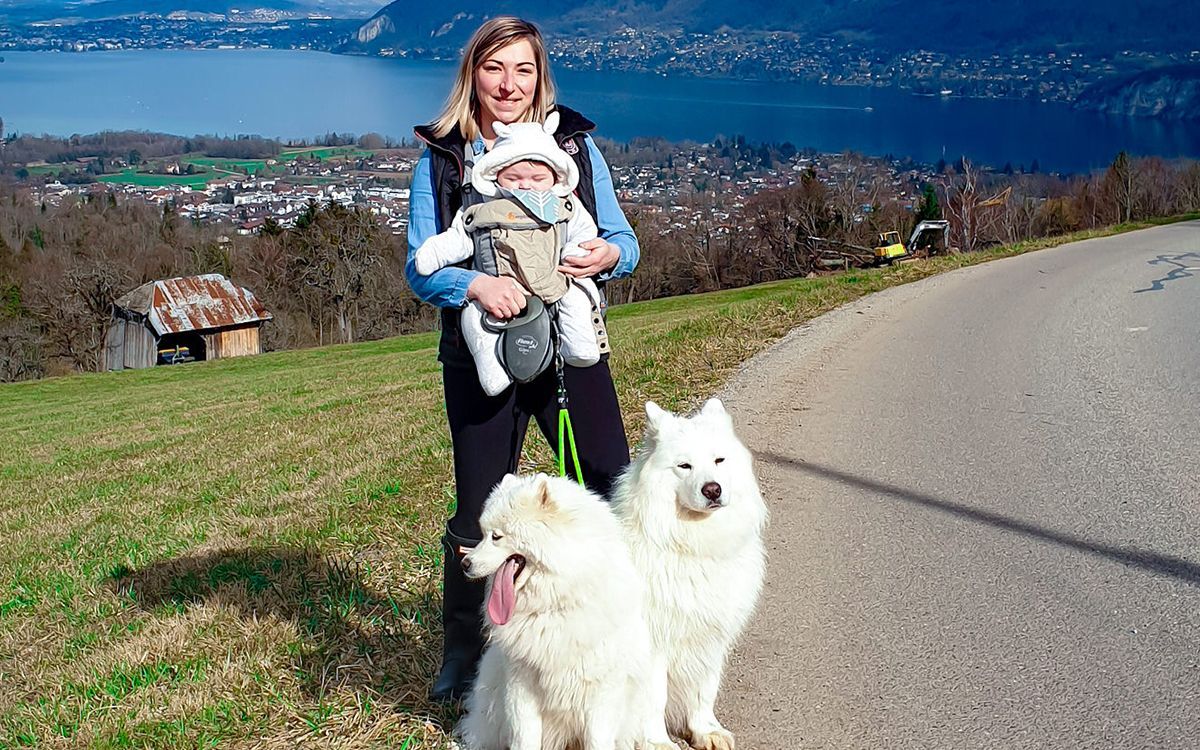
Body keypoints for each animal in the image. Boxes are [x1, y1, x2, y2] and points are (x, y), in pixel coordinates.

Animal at [453, 472, 652, 748]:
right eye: (482, 534)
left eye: (497, 537)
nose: (465, 563)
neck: (555, 604)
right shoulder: (521, 683)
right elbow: (525, 737)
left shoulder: (602, 692)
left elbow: (597, 739)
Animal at [609, 398, 768, 748]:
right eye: (684, 466)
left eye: (719, 460)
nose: (712, 490)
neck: (692, 546)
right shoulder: (654, 643)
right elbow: (654, 699)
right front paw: (656, 742)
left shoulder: (709, 636)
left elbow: (704, 689)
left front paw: (705, 730)